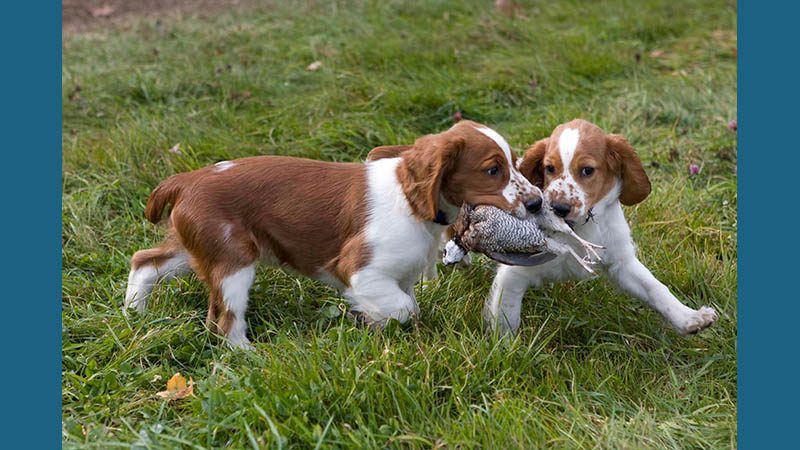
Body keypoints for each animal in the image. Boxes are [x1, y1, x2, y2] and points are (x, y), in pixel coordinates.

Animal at [123, 119, 544, 348]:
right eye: (492, 170)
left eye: (515, 162)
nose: (538, 202)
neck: (412, 203)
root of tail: (188, 178)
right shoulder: (361, 270)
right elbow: (406, 309)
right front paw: (371, 319)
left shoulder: (400, 276)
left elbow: (405, 304)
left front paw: (375, 326)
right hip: (232, 262)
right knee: (223, 322)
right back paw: (251, 357)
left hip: (197, 248)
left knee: (144, 262)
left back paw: (134, 315)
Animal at [484, 119, 720, 338]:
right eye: (550, 168)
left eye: (587, 170)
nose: (558, 208)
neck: (579, 229)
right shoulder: (514, 273)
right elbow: (507, 317)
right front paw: (506, 347)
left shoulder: (621, 263)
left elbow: (655, 287)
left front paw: (689, 317)